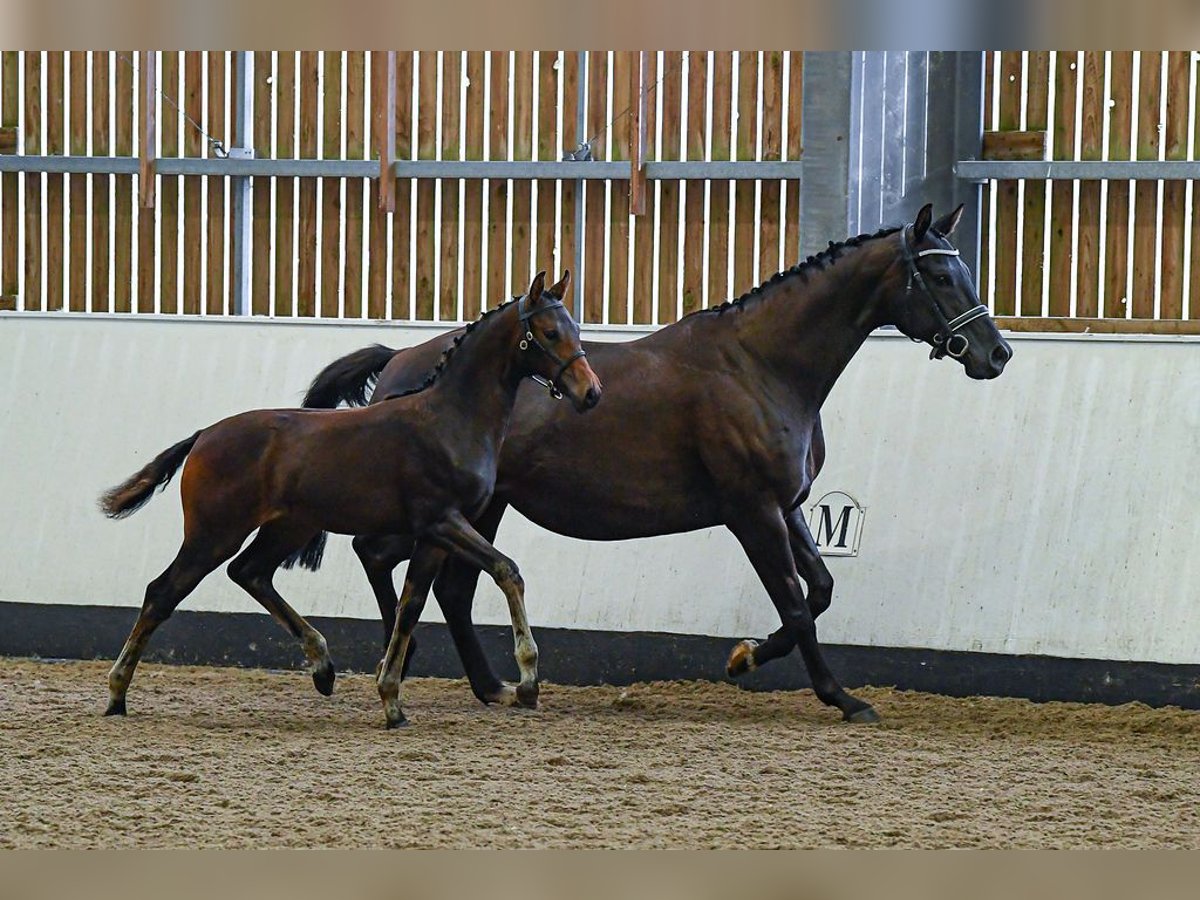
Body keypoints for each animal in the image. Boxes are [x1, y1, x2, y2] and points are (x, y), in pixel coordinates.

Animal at [98, 271, 600, 729]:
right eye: (549, 333)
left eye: (575, 330)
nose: (591, 392)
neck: (450, 420)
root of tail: (203, 435)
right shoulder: (443, 521)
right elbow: (506, 571)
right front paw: (528, 681)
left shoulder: (433, 536)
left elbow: (410, 606)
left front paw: (392, 702)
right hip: (213, 533)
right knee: (162, 593)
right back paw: (117, 695)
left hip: (287, 527)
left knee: (249, 572)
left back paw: (323, 667)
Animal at [302, 206, 1012, 724]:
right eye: (940, 278)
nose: (996, 353)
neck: (762, 366)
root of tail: (403, 361)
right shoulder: (752, 512)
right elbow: (795, 602)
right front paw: (840, 697)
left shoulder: (786, 506)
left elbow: (819, 591)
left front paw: (745, 657)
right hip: (447, 510)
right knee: (382, 555)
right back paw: (400, 662)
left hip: (483, 506)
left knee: (449, 586)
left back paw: (490, 685)